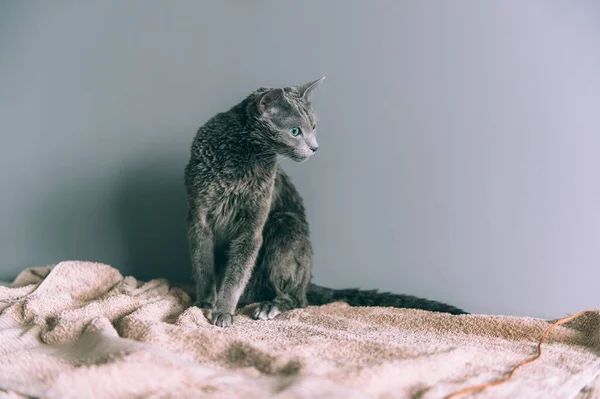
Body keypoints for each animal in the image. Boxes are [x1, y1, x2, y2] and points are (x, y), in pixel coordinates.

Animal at [185, 79, 466, 328]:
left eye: (313, 126)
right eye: (295, 131)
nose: (315, 147)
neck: (240, 155)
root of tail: (308, 280)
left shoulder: (252, 223)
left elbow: (236, 274)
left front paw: (223, 312)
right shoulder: (199, 216)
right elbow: (202, 265)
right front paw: (204, 303)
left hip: (286, 224)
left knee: (298, 299)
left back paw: (270, 306)